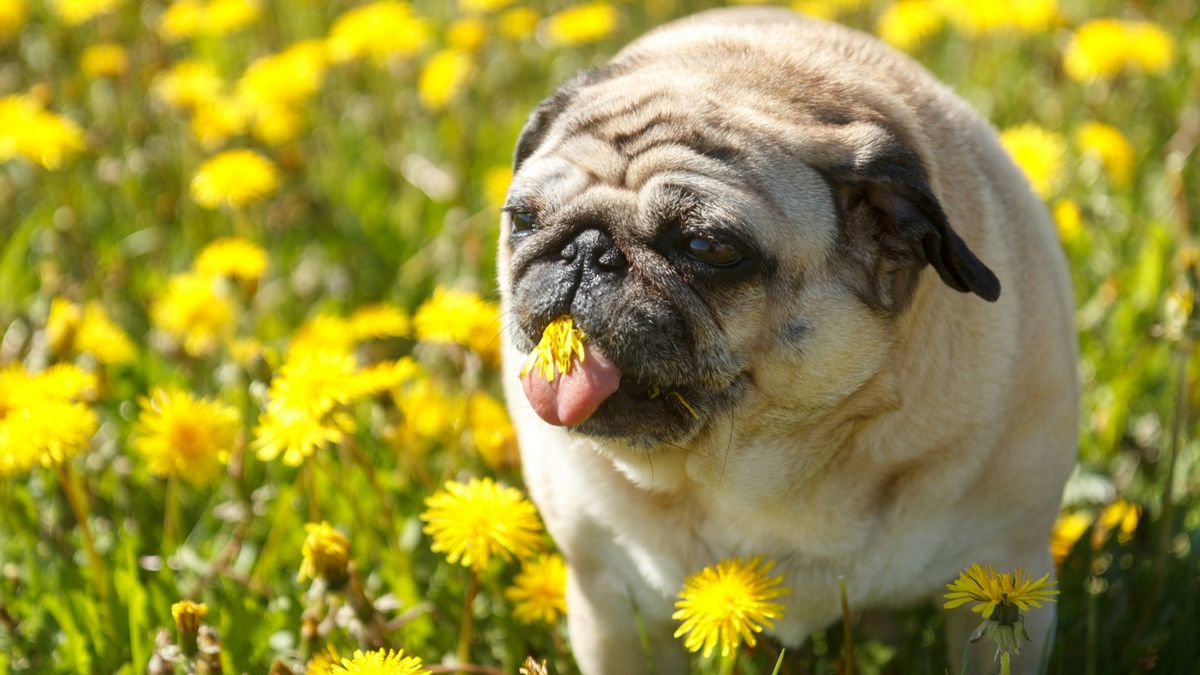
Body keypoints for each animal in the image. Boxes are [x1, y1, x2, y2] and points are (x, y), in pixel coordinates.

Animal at [496, 6, 1080, 672]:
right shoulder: (610, 605)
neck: (759, 474)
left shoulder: (1006, 570)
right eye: (524, 220)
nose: (587, 251)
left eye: (708, 247)